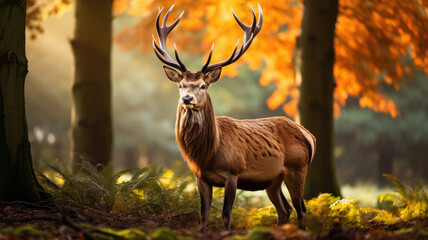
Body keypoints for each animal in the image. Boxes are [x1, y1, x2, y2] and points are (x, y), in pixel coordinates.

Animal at [152, 4, 316, 232]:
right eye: (180, 85)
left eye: (203, 86)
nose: (187, 99)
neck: (207, 153)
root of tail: (308, 134)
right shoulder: (200, 178)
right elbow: (203, 215)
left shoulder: (233, 173)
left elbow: (226, 215)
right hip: (273, 180)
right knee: (285, 210)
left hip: (297, 168)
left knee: (301, 209)